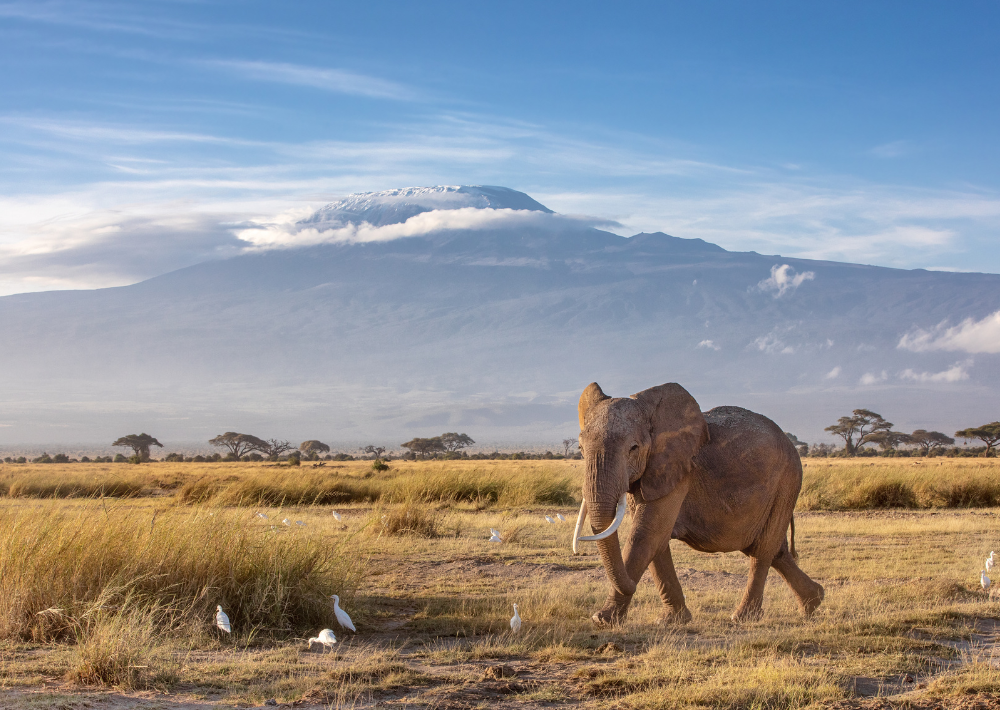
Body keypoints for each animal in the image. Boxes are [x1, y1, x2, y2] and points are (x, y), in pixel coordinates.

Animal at [576, 382, 824, 624]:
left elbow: (647, 534)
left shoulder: (679, 469)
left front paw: (602, 619)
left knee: (762, 550)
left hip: (787, 481)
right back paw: (814, 602)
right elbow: (657, 539)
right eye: (580, 449)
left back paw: (743, 617)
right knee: (775, 550)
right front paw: (673, 620)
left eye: (633, 448)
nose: (632, 587)